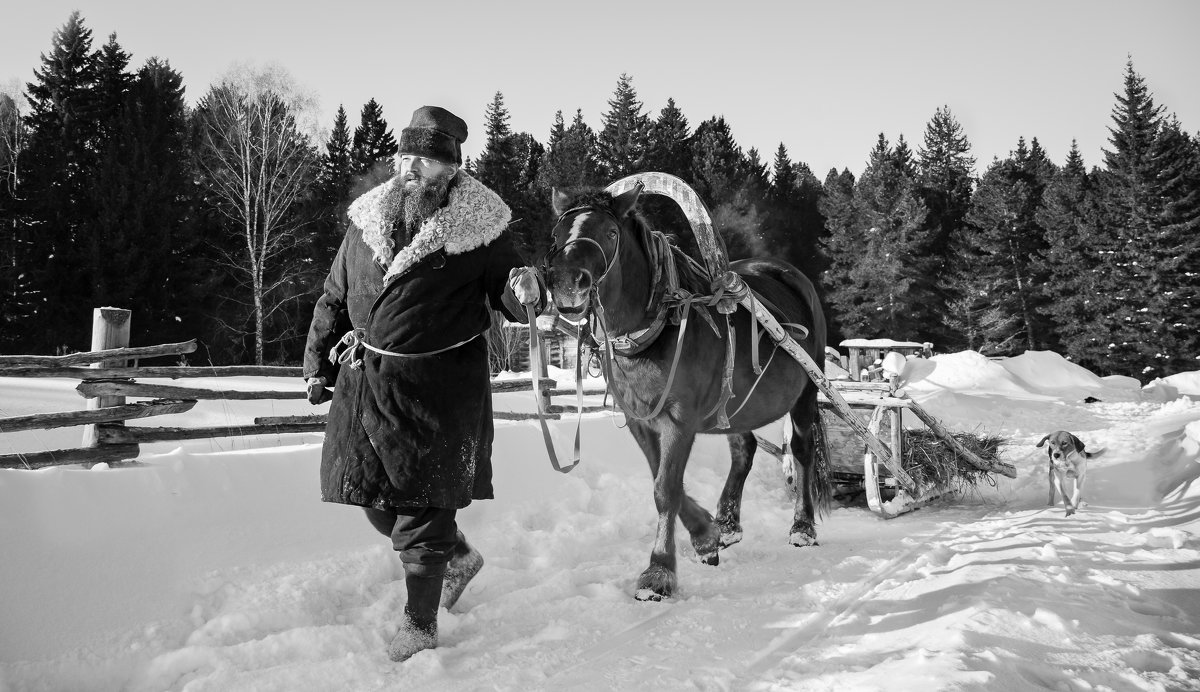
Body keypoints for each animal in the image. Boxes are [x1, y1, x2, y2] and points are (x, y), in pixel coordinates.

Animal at [547, 185, 835, 602]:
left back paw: (802, 527)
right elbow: (662, 478)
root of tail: (790, 273)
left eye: (610, 233)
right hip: (736, 405)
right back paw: (728, 522)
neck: (656, 328)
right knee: (743, 449)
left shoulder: (680, 420)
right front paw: (706, 535)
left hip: (807, 391)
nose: (568, 282)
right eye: (556, 234)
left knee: (801, 450)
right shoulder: (640, 420)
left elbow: (666, 489)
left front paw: (659, 572)